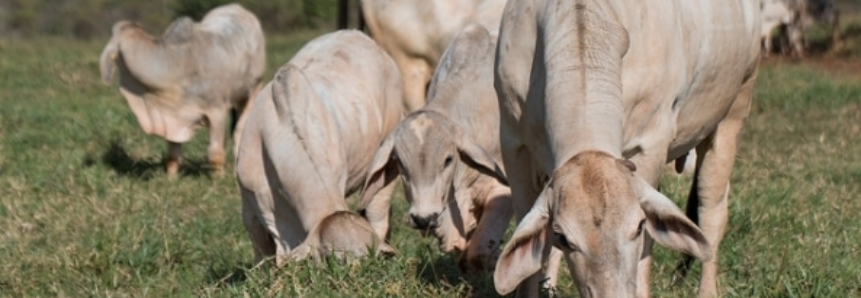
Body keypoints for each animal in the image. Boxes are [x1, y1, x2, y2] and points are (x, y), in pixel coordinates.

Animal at [98, 3, 264, 176]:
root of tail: (236, 7)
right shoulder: (173, 116)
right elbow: (172, 154)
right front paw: (170, 178)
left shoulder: (217, 110)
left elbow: (215, 154)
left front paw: (219, 177)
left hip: (254, 88)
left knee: (240, 131)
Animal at [490, 0, 760, 298]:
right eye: (561, 236)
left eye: (640, 225)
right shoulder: (514, 144)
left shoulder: (649, 144)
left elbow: (647, 250)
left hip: (734, 110)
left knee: (712, 211)